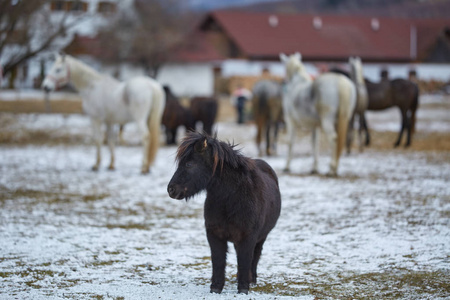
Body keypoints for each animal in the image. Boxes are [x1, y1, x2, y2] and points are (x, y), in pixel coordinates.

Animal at [168, 132, 282, 296]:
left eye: (189, 164)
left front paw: (243, 288)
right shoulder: (215, 235)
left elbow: (245, 260)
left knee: (255, 256)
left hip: (261, 237)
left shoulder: (248, 237)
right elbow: (218, 260)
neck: (231, 200)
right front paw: (216, 287)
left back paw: (252, 279)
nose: (171, 189)